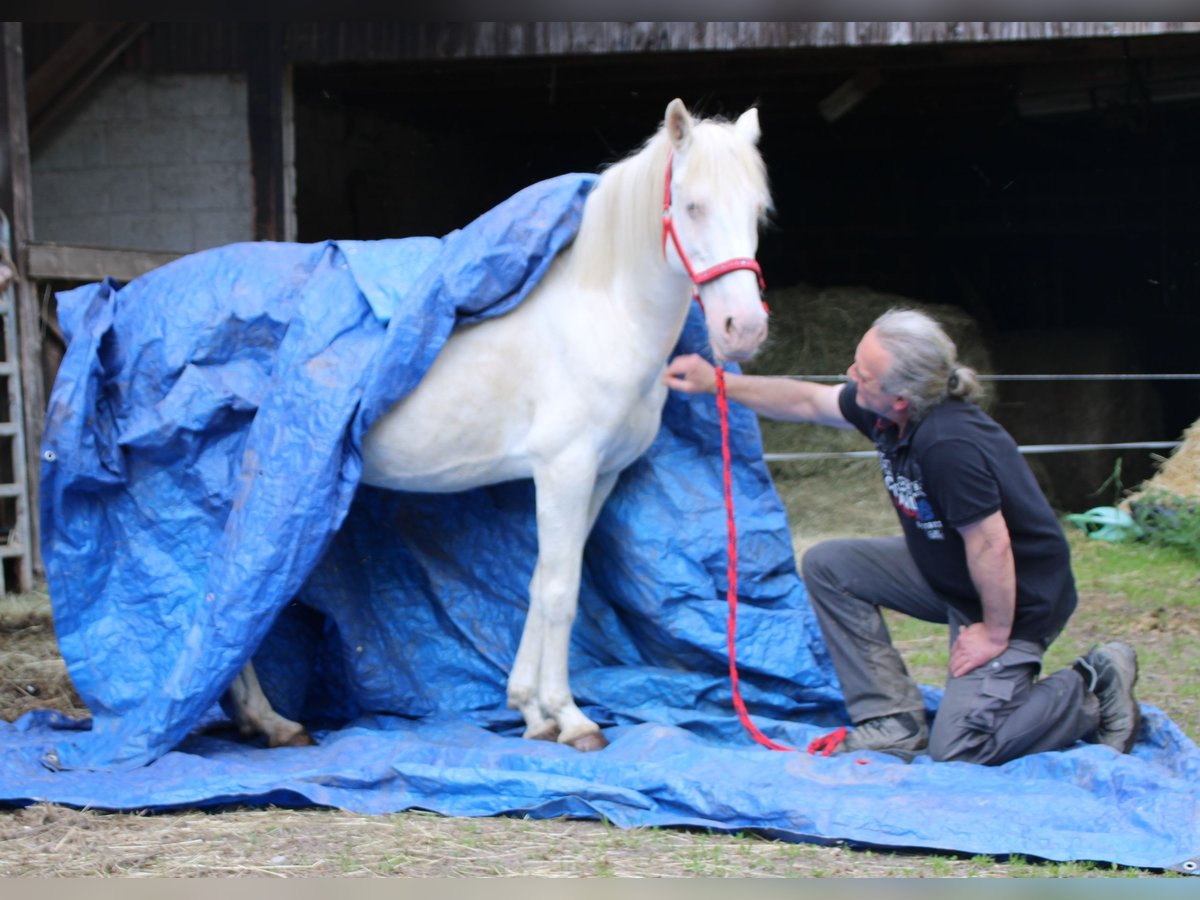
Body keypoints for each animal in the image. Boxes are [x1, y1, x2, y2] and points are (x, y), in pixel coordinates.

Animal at [225, 97, 768, 753]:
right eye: (692, 206)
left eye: (757, 210)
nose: (744, 328)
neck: (600, 318)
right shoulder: (564, 469)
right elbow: (561, 592)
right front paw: (574, 719)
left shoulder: (599, 476)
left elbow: (543, 581)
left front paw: (533, 713)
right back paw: (272, 721)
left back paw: (253, 718)